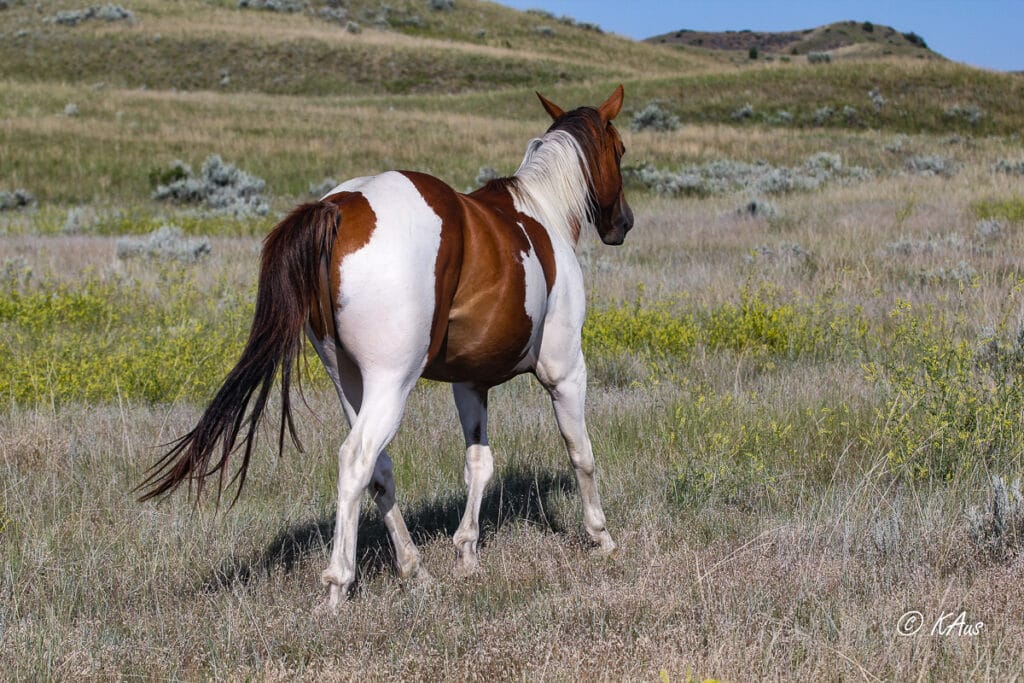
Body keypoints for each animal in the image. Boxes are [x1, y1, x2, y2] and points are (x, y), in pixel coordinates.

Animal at [138, 85, 634, 611]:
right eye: (620, 150)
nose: (623, 223)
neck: (541, 213)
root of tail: (339, 208)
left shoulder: (469, 383)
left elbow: (478, 464)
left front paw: (467, 552)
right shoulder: (565, 372)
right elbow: (580, 453)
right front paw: (601, 537)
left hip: (351, 383)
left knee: (380, 468)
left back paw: (414, 569)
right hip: (391, 383)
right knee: (357, 459)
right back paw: (338, 584)